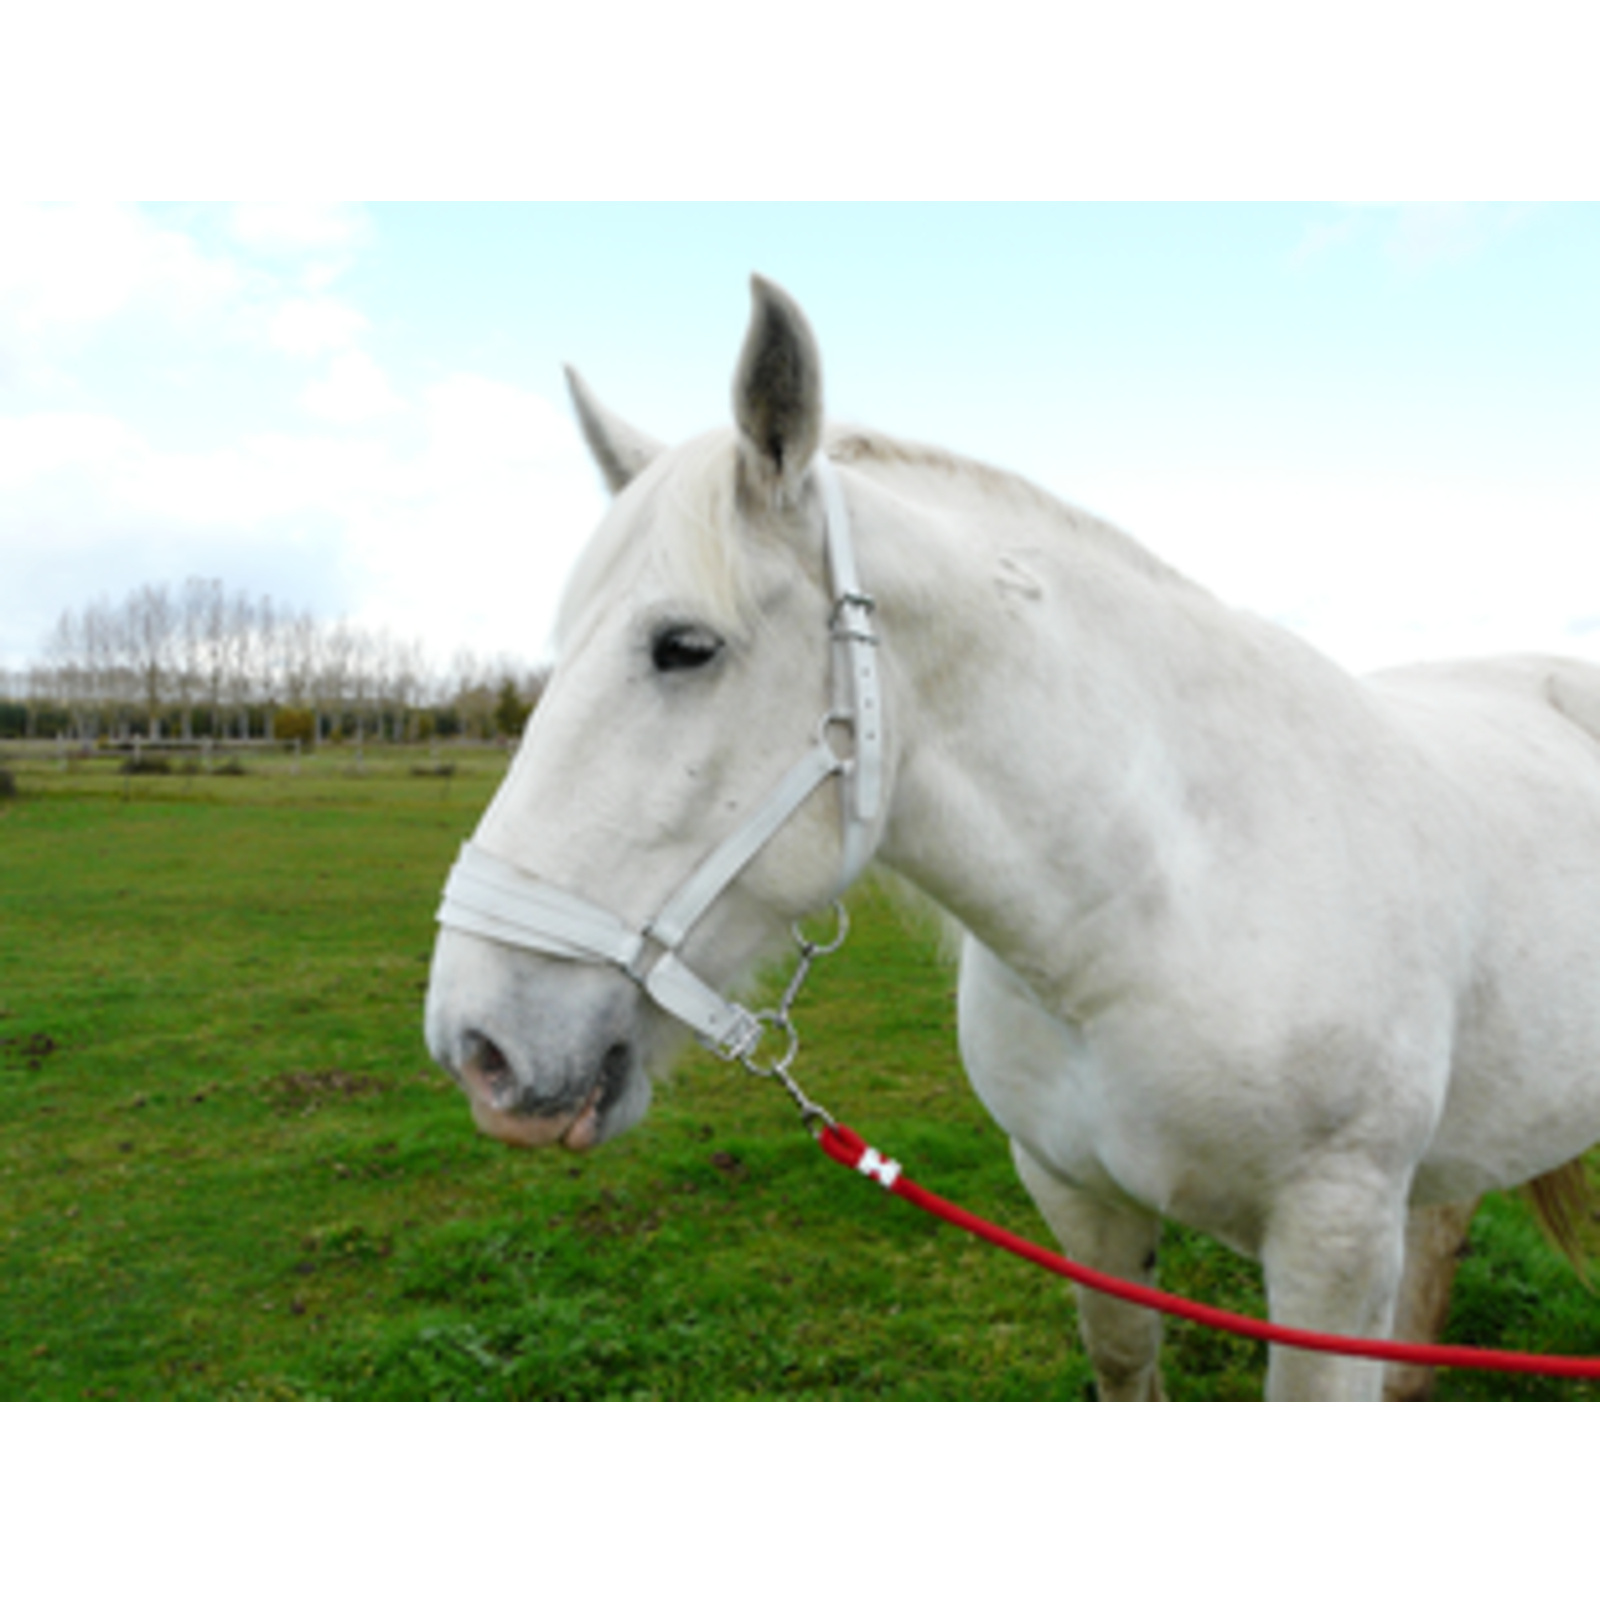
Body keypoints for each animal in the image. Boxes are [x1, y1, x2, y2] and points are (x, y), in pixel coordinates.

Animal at [425, 275, 1600, 1401]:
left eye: (683, 646)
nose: (479, 1049)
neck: (1161, 902)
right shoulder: (1080, 1200)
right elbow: (1126, 1366)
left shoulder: (1331, 1248)